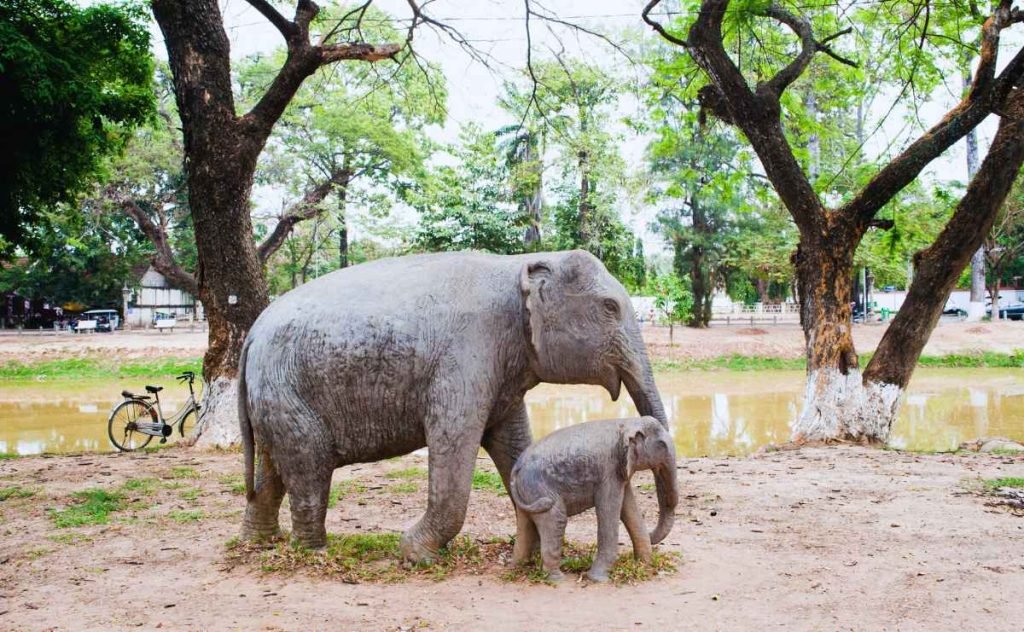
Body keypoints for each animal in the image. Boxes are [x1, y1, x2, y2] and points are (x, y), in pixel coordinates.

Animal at [239, 248, 671, 561]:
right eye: (610, 308)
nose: (652, 537)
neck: (519, 262)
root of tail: (252, 334)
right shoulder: (466, 356)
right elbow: (453, 439)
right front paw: (416, 554)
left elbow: (513, 443)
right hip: (286, 390)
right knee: (308, 465)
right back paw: (315, 553)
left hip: (274, 394)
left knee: (273, 468)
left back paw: (259, 542)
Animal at [507, 413, 675, 581]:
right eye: (662, 445)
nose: (652, 534)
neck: (627, 421)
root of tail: (517, 468)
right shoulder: (609, 469)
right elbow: (608, 508)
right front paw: (598, 579)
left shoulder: (620, 471)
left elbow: (628, 506)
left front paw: (642, 565)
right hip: (539, 489)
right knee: (555, 518)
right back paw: (557, 579)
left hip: (528, 491)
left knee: (525, 522)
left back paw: (518, 567)